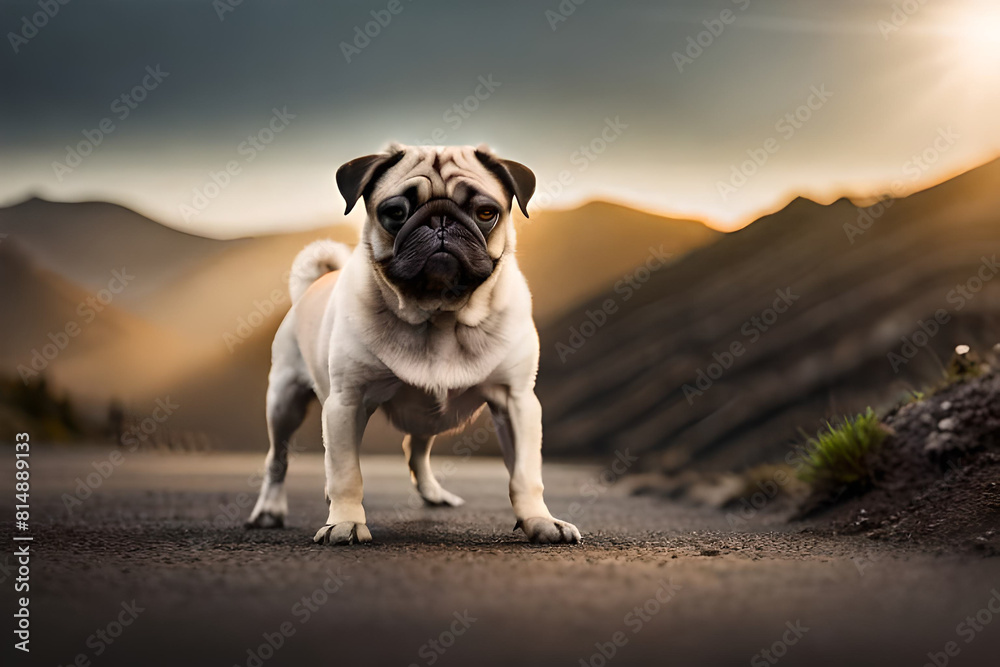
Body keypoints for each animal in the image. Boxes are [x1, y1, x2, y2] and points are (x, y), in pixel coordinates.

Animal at [245, 144, 584, 544]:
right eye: (395, 213)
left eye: (486, 213)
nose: (440, 222)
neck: (440, 317)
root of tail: (311, 286)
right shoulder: (346, 404)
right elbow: (346, 474)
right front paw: (345, 521)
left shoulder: (517, 402)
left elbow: (526, 474)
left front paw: (539, 520)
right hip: (285, 401)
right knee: (278, 458)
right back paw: (269, 510)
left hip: (426, 414)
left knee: (415, 450)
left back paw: (434, 494)